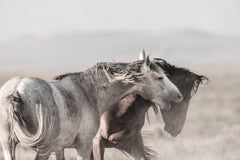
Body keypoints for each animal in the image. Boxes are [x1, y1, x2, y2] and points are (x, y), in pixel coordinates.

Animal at [0, 55, 182, 160]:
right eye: (159, 77)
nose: (179, 95)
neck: (87, 91)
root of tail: (16, 90)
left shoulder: (59, 148)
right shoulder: (85, 145)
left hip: (8, 144)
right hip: (42, 148)